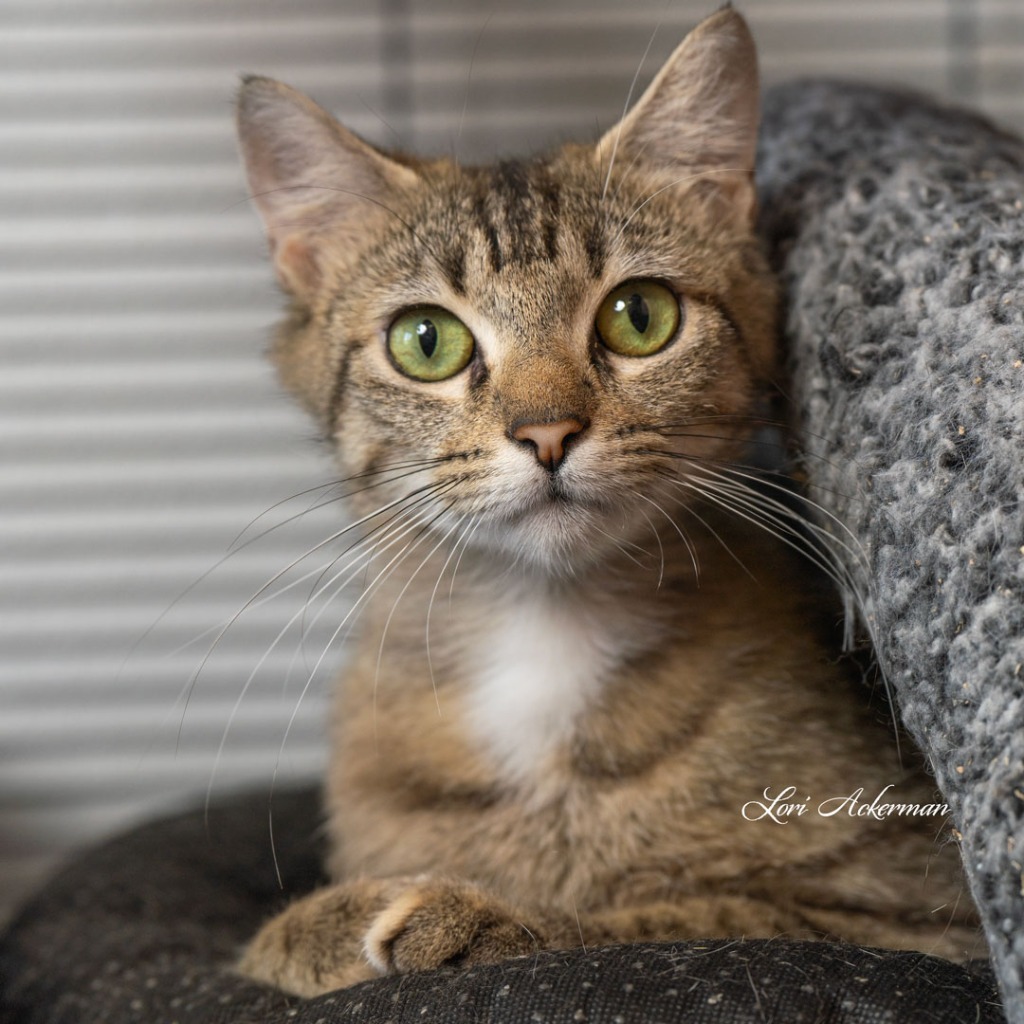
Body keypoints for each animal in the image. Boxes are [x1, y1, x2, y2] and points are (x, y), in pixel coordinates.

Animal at [230, 9, 974, 999]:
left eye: (639, 315)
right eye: (425, 340)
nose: (548, 431)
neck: (545, 632)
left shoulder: (913, 918)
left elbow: (689, 917)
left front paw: (467, 919)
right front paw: (318, 926)